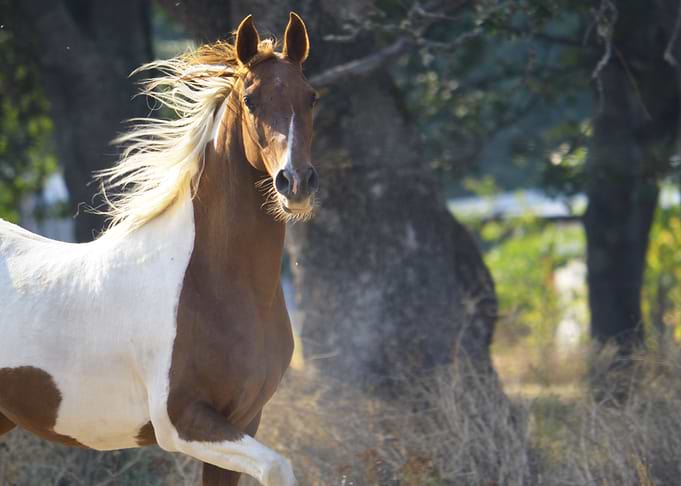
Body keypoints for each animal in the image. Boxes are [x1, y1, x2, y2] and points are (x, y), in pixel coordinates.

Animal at [0, 12, 317, 486]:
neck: (208, 285)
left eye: (310, 97)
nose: (295, 183)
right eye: (251, 100)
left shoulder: (244, 418)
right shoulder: (182, 422)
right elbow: (278, 466)